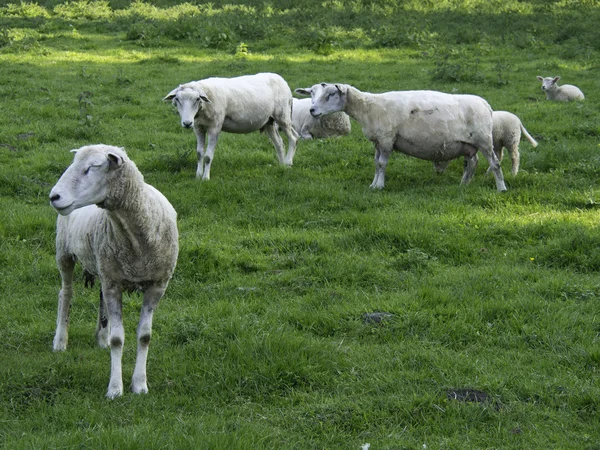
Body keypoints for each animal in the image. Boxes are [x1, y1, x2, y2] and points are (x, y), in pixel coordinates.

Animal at [48, 143, 179, 398]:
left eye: (93, 167)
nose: (54, 196)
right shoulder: (113, 283)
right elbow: (119, 339)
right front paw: (115, 388)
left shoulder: (157, 285)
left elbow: (145, 336)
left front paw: (140, 385)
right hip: (64, 252)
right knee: (65, 294)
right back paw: (60, 341)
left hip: (103, 267)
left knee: (100, 300)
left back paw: (101, 338)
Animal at [163, 72, 298, 179]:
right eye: (177, 99)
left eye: (197, 99)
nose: (187, 123)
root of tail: (281, 79)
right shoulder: (198, 128)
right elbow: (199, 154)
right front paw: (198, 175)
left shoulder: (215, 127)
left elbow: (207, 156)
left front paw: (205, 178)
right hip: (269, 121)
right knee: (279, 143)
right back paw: (281, 166)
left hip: (282, 115)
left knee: (293, 138)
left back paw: (288, 163)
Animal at [300, 81, 506, 191]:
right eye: (311, 94)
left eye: (331, 94)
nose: (312, 110)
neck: (368, 107)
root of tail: (486, 104)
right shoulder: (378, 141)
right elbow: (376, 163)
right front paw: (373, 184)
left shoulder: (386, 139)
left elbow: (382, 164)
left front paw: (379, 186)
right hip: (468, 144)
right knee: (472, 163)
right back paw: (463, 185)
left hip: (484, 140)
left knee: (495, 163)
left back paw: (501, 188)